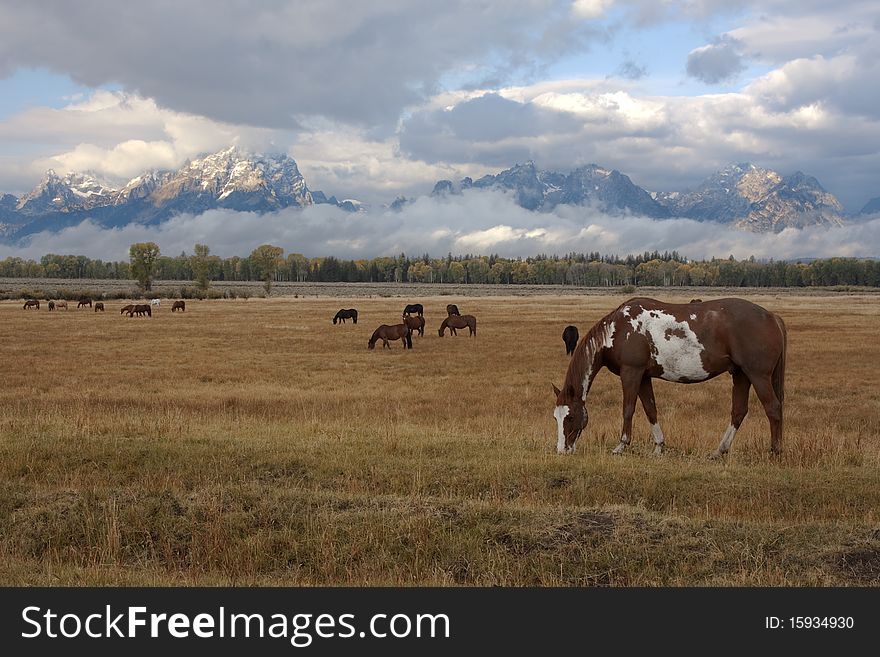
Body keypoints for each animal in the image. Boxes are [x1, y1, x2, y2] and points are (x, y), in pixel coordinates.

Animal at [552, 298, 788, 456]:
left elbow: (628, 409)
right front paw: (659, 446)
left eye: (570, 417)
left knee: (773, 408)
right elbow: (650, 409)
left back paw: (775, 451)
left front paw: (621, 445)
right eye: (556, 417)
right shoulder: (643, 376)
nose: (562, 450)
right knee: (738, 412)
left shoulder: (631, 372)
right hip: (741, 375)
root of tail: (772, 317)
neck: (618, 330)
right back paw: (719, 451)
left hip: (758, 375)